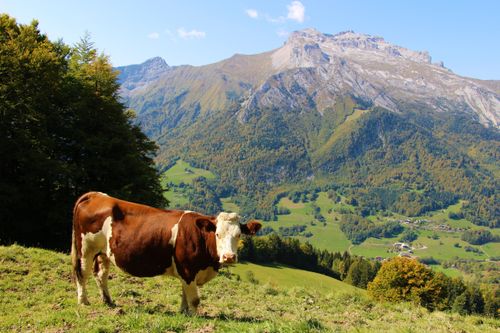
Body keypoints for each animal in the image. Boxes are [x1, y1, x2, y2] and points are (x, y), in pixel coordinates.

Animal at [70, 191, 262, 312]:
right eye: (217, 234)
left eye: (239, 235)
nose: (229, 257)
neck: (208, 265)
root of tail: (96, 195)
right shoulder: (187, 268)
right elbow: (194, 299)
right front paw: (195, 317)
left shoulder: (187, 272)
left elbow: (185, 294)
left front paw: (183, 313)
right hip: (85, 248)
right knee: (82, 273)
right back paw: (83, 301)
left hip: (104, 252)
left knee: (100, 274)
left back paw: (108, 301)